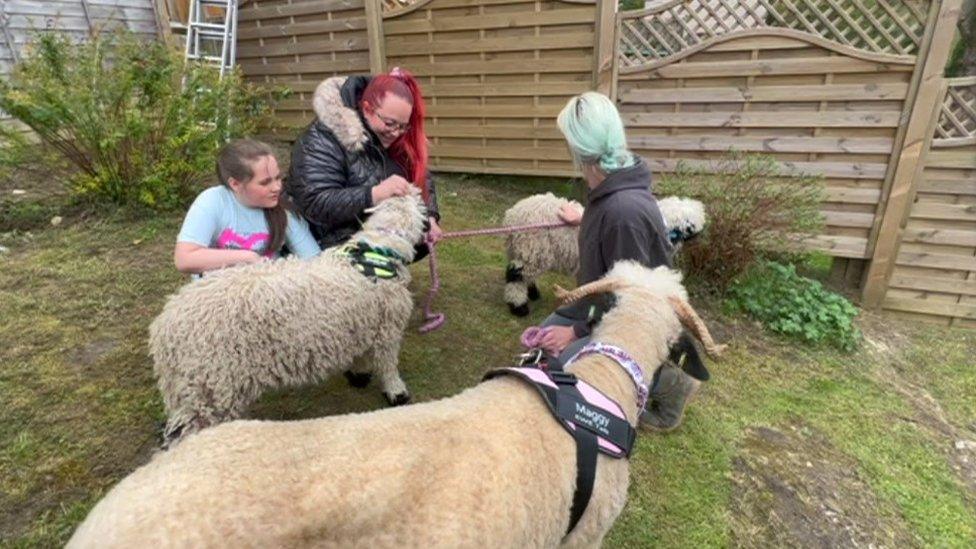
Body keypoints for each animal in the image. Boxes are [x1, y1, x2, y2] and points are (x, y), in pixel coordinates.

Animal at [149, 188, 428, 446]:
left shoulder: (361, 322)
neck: (376, 252)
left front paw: (358, 373)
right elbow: (388, 364)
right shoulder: (388, 327)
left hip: (191, 387)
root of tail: (164, 330)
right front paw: (397, 393)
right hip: (211, 382)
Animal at [504, 193, 700, 314]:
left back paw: (532, 293)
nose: (697, 235)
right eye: (688, 225)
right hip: (531, 248)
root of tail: (511, 216)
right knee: (515, 276)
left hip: (527, 252)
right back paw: (518, 306)